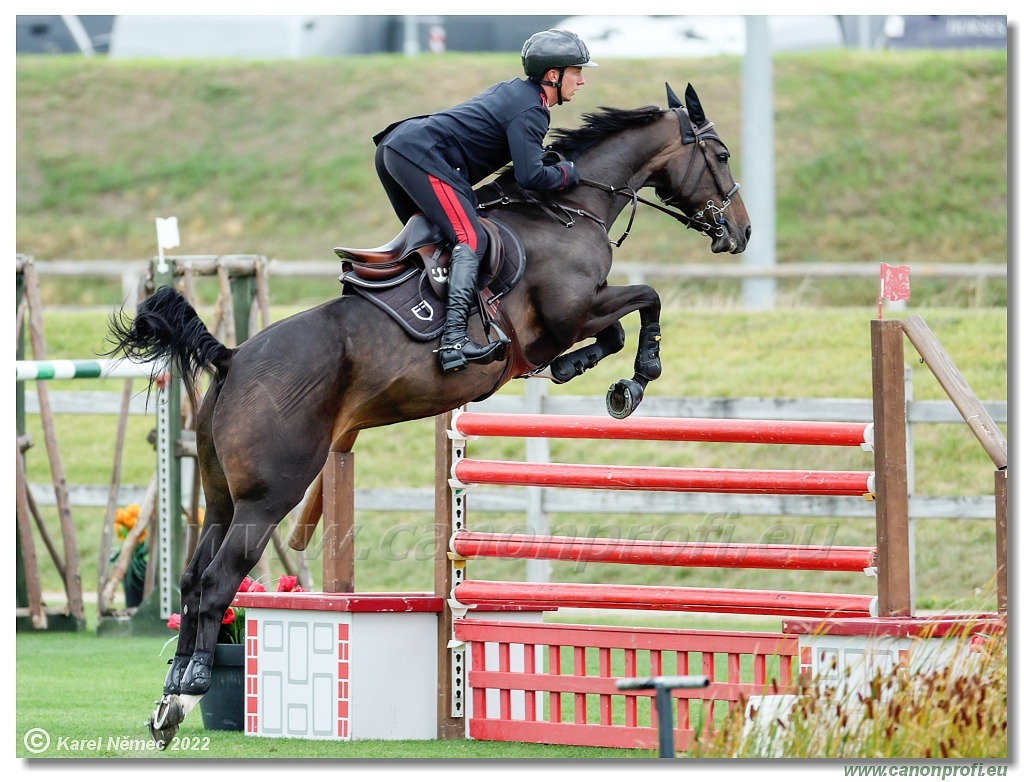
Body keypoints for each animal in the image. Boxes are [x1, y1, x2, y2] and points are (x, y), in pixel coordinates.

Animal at [110, 82, 753, 741]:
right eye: (722, 155)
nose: (742, 232)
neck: (567, 212)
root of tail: (234, 358)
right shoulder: (571, 313)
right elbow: (644, 303)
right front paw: (635, 380)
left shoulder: (572, 320)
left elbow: (618, 329)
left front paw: (585, 371)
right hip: (269, 496)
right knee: (217, 583)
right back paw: (187, 693)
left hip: (220, 495)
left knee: (193, 580)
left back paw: (169, 697)